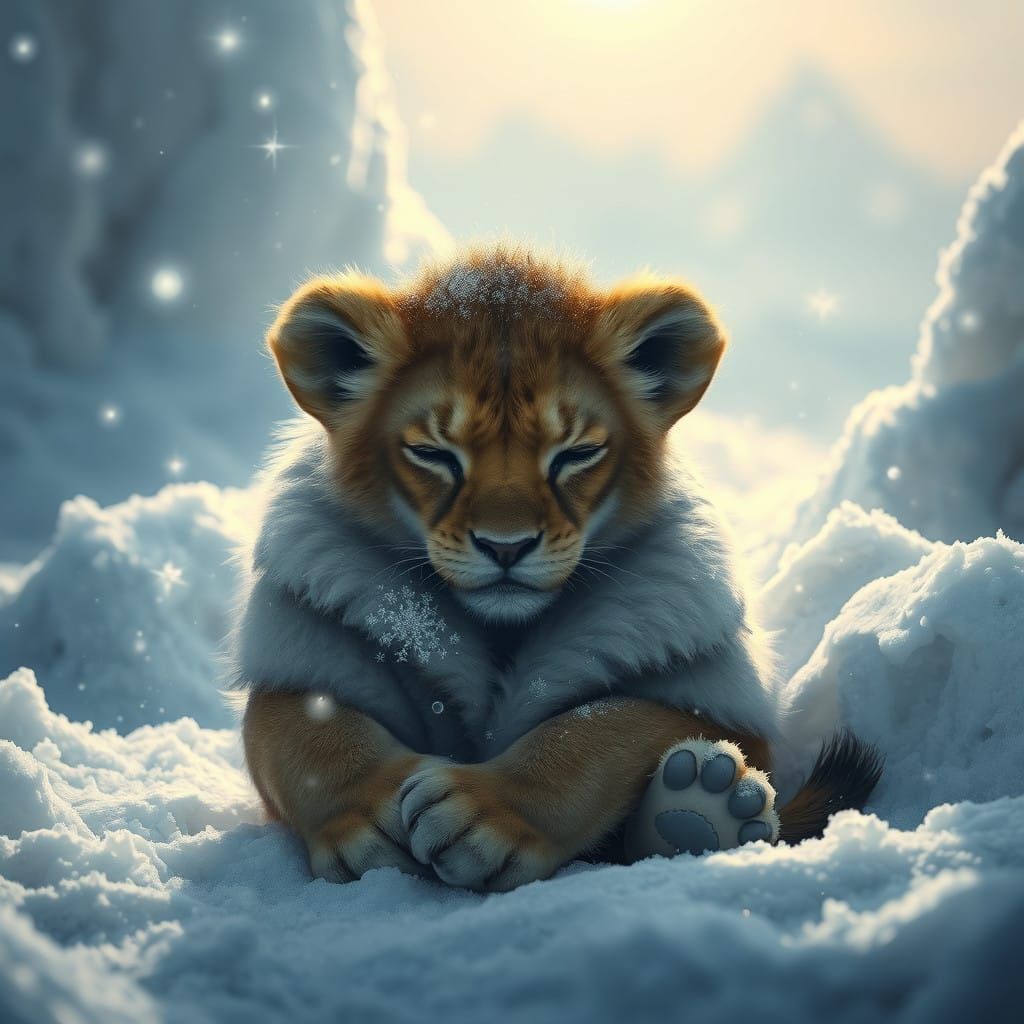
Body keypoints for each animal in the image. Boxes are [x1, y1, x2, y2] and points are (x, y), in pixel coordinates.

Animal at [234, 243, 881, 891]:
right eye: (433, 454)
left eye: (577, 454)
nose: (506, 546)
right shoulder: (306, 659)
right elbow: (308, 729)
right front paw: (372, 815)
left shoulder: (713, 693)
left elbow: (605, 726)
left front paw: (478, 814)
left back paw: (704, 806)